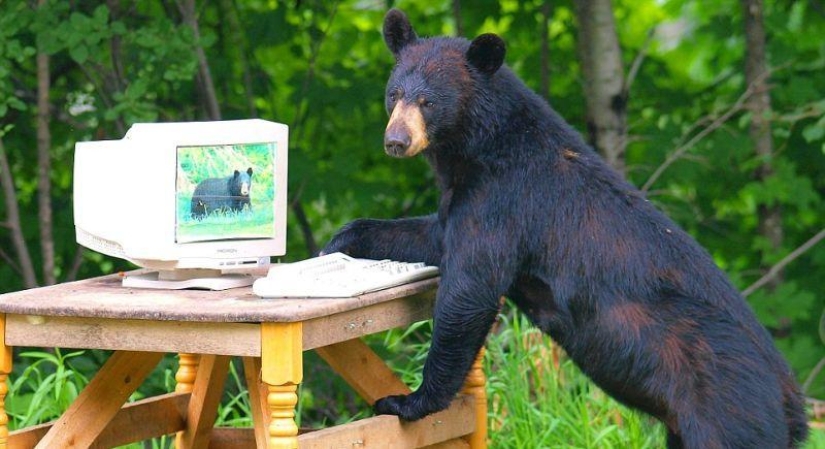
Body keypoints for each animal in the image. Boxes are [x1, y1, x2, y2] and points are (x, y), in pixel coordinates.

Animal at [322, 9, 808, 449]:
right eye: (394, 94)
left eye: (429, 102)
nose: (396, 141)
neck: (482, 147)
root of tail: (794, 405)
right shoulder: (466, 198)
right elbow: (432, 235)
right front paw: (338, 242)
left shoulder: (503, 200)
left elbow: (471, 289)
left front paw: (408, 402)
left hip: (723, 405)